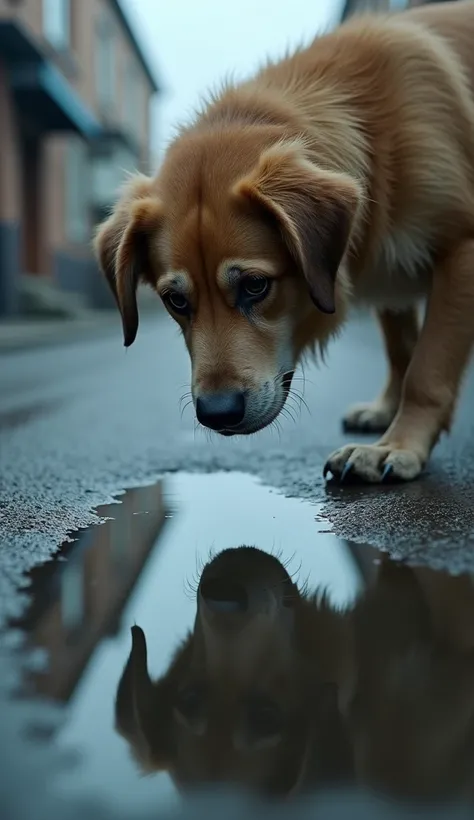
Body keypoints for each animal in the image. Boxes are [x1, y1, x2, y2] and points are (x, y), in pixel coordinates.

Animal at [94, 0, 474, 484]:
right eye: (175, 301)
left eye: (256, 286)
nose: (217, 414)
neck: (375, 133)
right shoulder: (391, 282)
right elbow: (401, 349)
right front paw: (388, 413)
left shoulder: (461, 250)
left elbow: (426, 370)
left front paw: (399, 445)